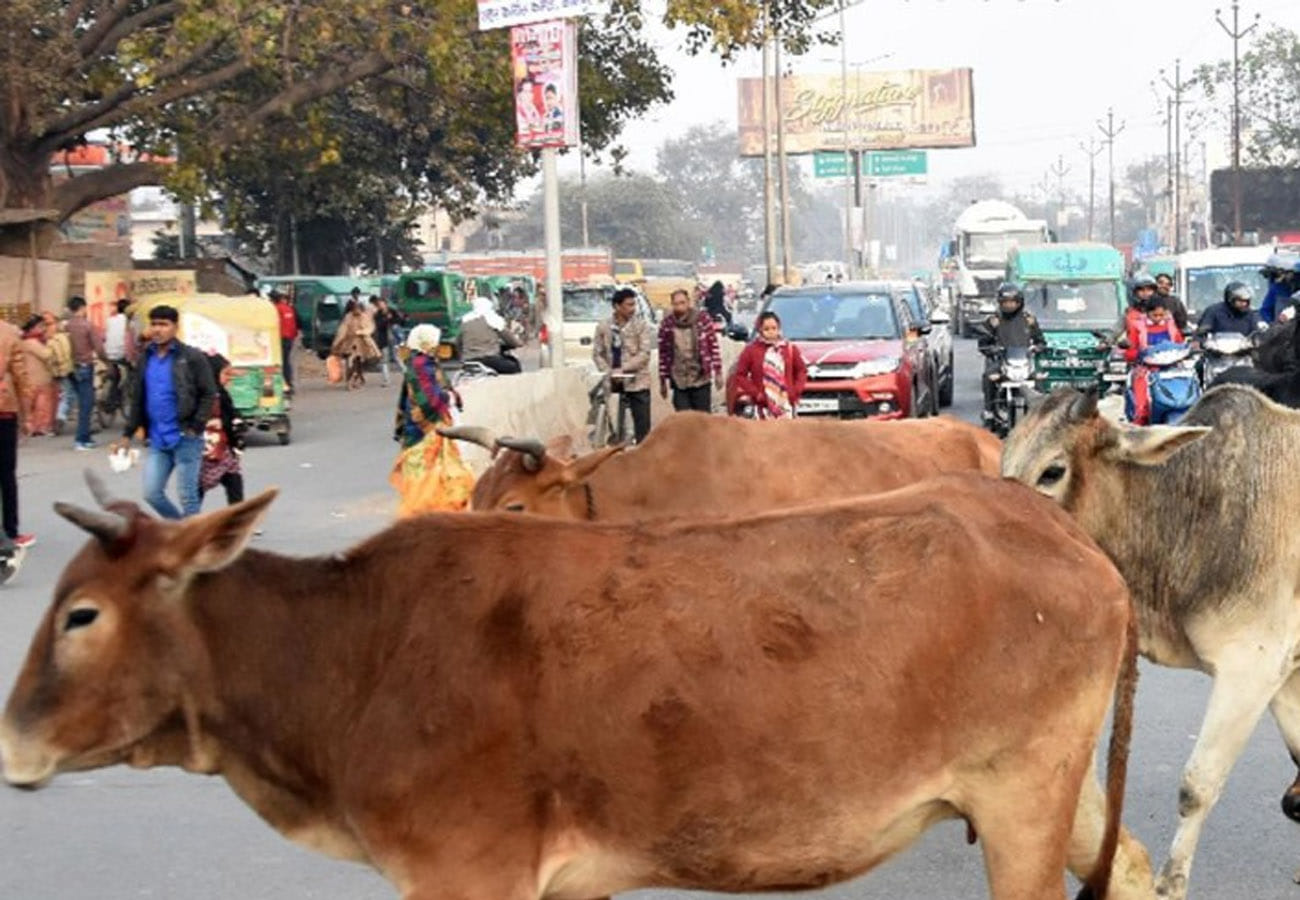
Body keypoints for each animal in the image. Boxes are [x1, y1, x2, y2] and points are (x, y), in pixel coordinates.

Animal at [2, 473, 1143, 900]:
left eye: (82, 614)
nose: (11, 742)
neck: (354, 650)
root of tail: (1053, 523)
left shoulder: (466, 875)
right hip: (1056, 791)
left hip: (1020, 800)